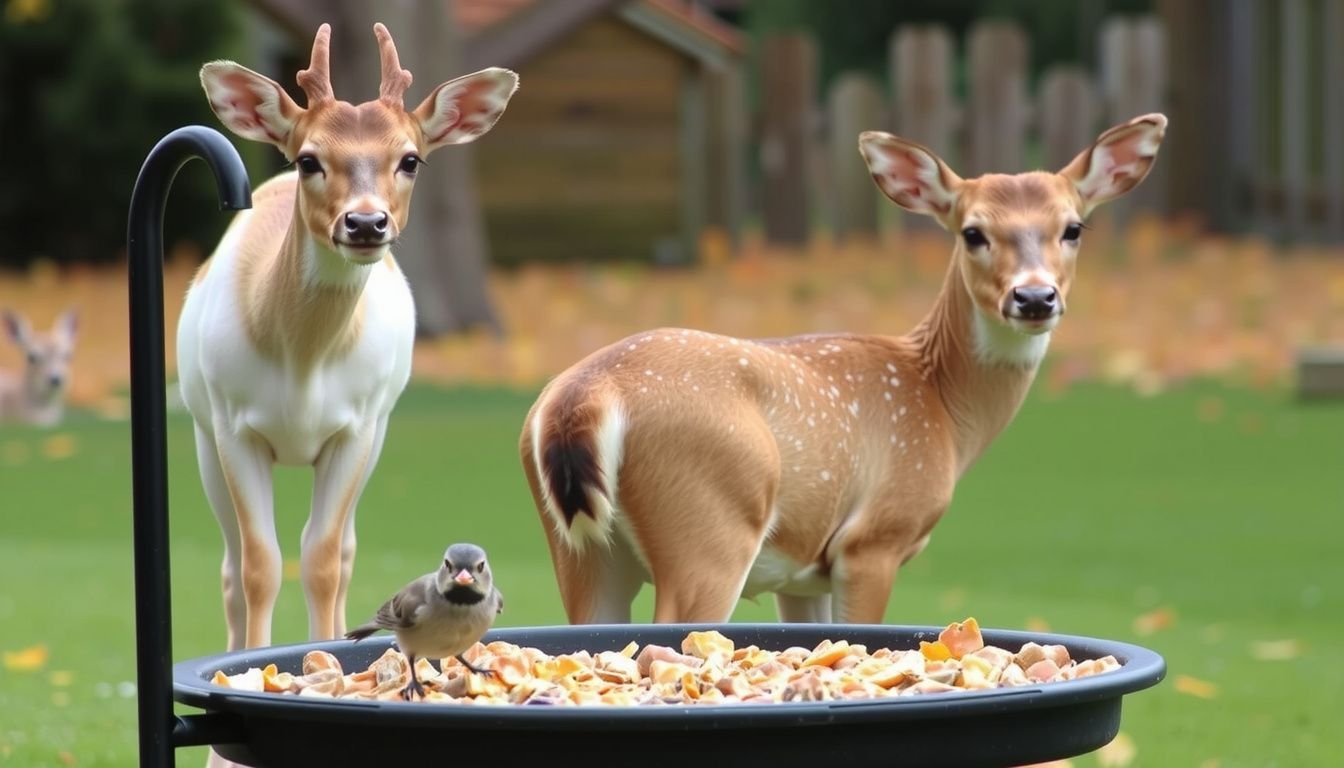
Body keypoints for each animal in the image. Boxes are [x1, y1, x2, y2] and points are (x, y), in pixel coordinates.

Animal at [179, 22, 518, 654]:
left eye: (410, 159)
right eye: (309, 159)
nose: (365, 223)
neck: (303, 360)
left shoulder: (356, 426)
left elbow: (322, 559)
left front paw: (325, 645)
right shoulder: (233, 422)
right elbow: (260, 565)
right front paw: (256, 655)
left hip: (378, 429)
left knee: (343, 554)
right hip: (202, 431)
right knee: (232, 567)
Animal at [518, 113, 1167, 626]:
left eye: (1073, 228)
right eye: (972, 232)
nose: (1034, 298)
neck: (941, 404)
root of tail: (586, 394)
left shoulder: (804, 572)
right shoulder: (873, 539)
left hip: (579, 548)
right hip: (710, 526)